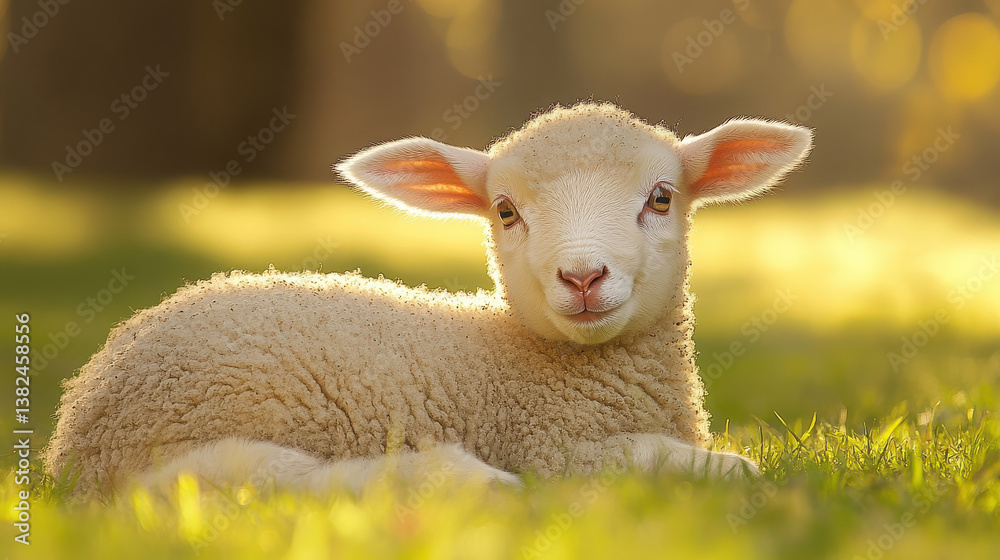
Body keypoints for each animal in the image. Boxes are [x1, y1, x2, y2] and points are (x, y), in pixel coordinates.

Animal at [43, 102, 812, 496]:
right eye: (505, 211)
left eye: (661, 198)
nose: (583, 277)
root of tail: (76, 425)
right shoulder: (553, 447)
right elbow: (707, 466)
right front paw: (732, 469)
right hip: (191, 446)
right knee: (289, 480)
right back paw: (457, 477)